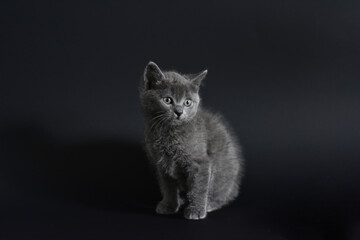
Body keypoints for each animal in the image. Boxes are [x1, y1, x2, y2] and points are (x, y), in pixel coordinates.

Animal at [139, 61, 243, 219]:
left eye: (188, 102)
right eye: (167, 100)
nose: (179, 112)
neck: (169, 133)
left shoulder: (201, 162)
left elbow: (199, 187)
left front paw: (196, 211)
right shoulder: (161, 164)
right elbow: (168, 187)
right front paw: (169, 205)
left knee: (223, 196)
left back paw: (209, 205)